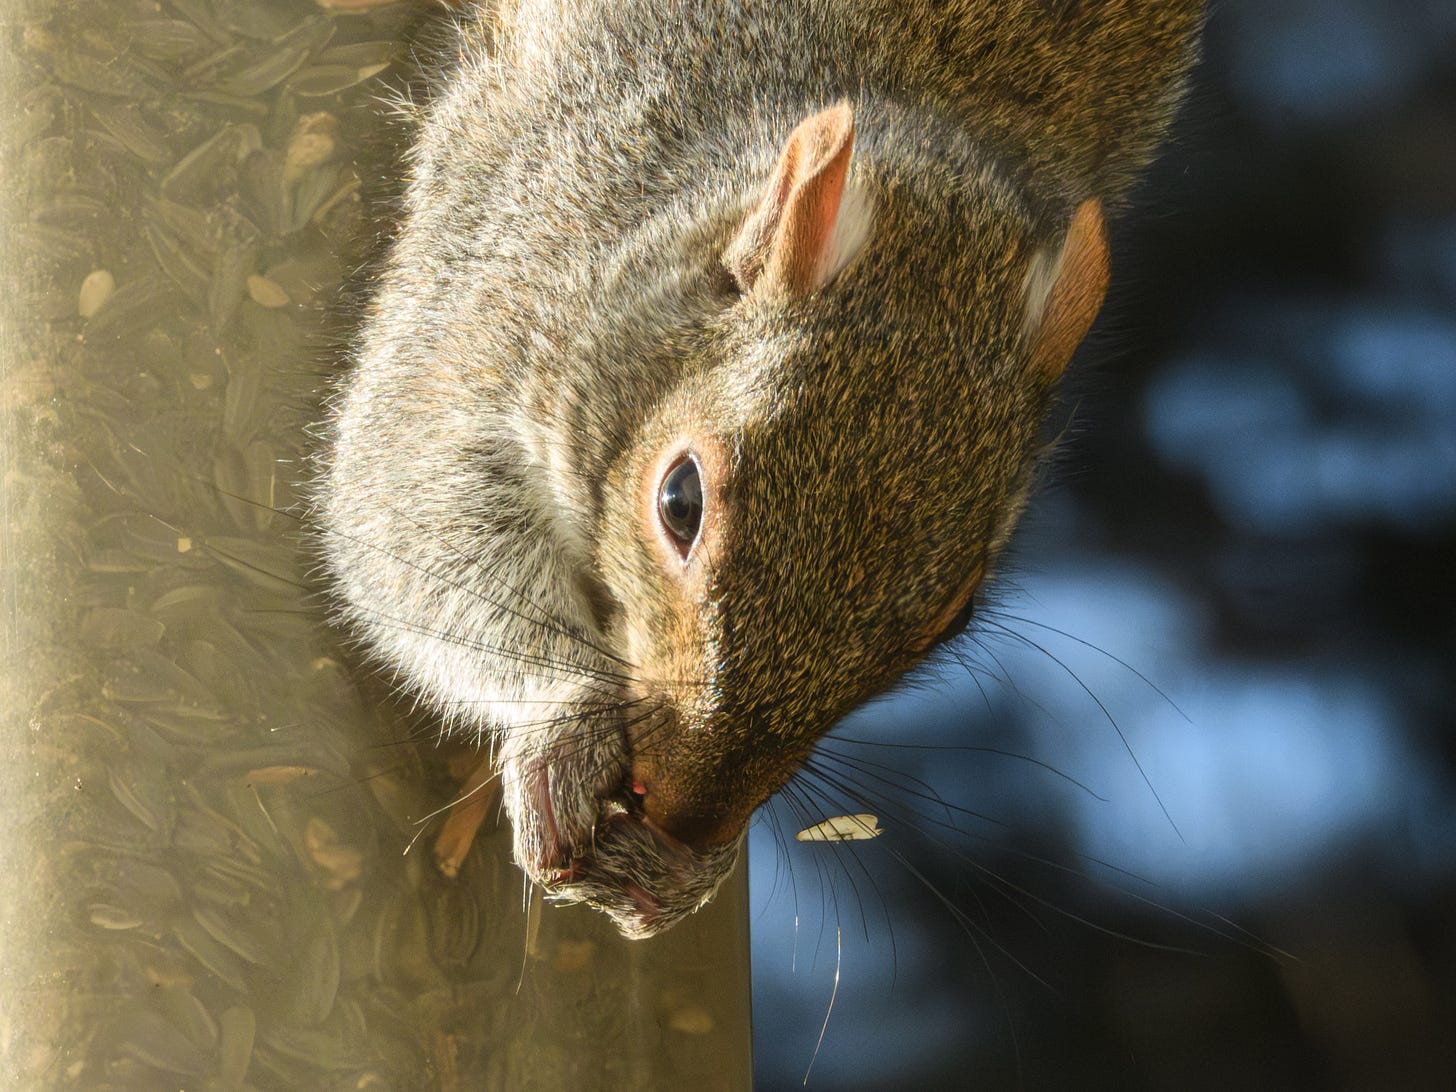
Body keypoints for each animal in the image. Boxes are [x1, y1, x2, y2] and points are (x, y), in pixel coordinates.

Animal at [317, 0, 1205, 938]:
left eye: (956, 614)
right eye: (679, 500)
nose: (686, 815)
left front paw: (682, 875)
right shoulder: (486, 305)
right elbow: (410, 521)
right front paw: (565, 726)